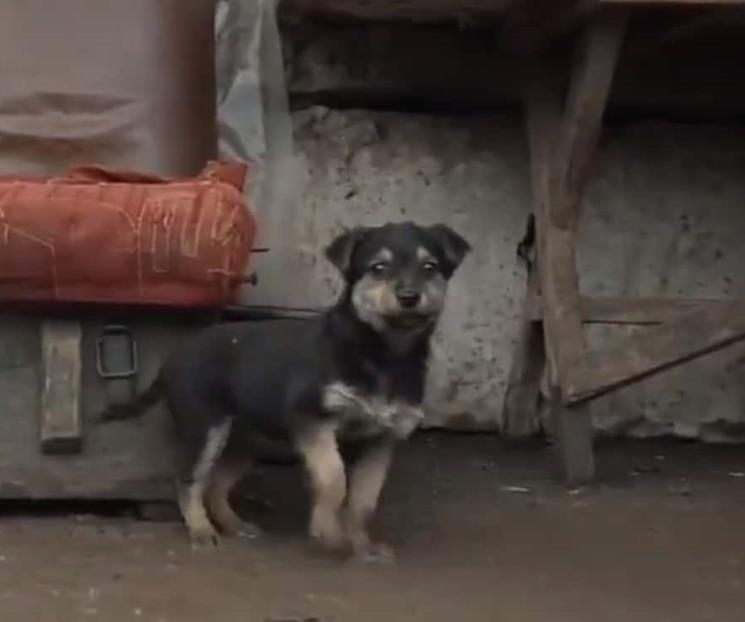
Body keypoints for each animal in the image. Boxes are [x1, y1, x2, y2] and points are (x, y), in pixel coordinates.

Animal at [101, 222, 468, 564]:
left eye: (429, 267)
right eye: (378, 267)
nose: (409, 296)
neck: (384, 353)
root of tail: (173, 358)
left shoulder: (382, 440)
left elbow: (364, 500)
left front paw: (363, 545)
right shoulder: (311, 418)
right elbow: (333, 478)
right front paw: (328, 531)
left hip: (247, 441)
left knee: (217, 483)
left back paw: (233, 524)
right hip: (205, 427)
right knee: (189, 480)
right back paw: (201, 530)